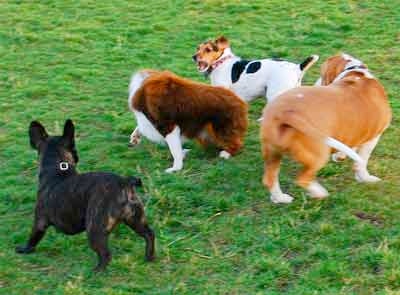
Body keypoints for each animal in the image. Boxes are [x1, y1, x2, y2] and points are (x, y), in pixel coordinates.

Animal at [16, 119, 155, 272]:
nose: (77, 156)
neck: (58, 168)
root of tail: (124, 183)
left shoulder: (40, 221)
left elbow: (33, 238)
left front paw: (25, 249)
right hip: (135, 219)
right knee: (149, 234)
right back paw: (149, 257)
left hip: (95, 228)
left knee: (105, 254)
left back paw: (96, 272)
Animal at [192, 36, 320, 103]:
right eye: (198, 48)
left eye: (208, 49)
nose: (193, 57)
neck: (222, 62)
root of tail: (297, 67)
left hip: (275, 94)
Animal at [260, 53, 392, 204]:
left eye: (322, 74)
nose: (316, 83)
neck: (355, 72)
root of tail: (286, 113)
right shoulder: (373, 138)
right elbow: (362, 161)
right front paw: (365, 178)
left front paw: (340, 156)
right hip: (319, 154)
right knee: (302, 179)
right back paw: (319, 193)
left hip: (272, 152)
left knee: (270, 179)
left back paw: (280, 198)